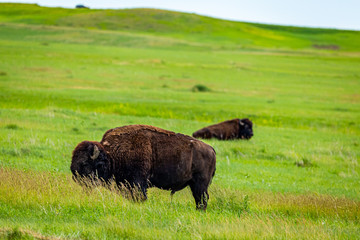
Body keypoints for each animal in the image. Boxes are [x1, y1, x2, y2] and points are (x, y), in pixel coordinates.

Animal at [71, 125, 215, 210]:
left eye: (85, 164)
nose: (76, 178)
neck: (111, 155)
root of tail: (211, 149)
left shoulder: (138, 182)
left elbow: (140, 196)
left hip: (200, 184)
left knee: (202, 198)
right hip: (194, 184)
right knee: (199, 198)